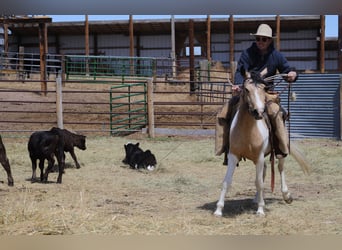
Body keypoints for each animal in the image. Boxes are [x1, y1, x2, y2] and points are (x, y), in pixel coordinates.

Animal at [214, 71, 308, 217]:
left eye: (264, 89)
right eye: (246, 89)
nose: (258, 111)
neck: (248, 130)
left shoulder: (258, 157)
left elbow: (259, 183)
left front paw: (261, 209)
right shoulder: (233, 156)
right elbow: (226, 182)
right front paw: (218, 209)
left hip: (280, 149)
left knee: (280, 168)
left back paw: (286, 195)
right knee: (264, 171)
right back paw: (257, 197)